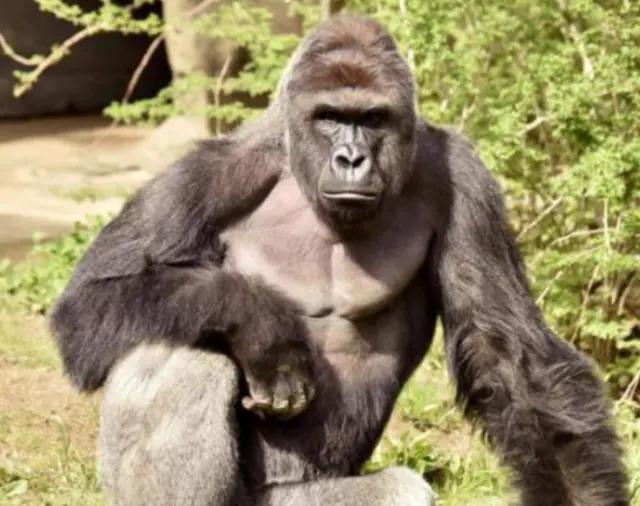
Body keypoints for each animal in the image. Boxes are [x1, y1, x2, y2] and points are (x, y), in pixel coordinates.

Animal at [51, 15, 628, 506]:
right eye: (329, 117)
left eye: (372, 118)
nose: (352, 158)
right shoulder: (206, 174)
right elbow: (88, 303)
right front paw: (263, 326)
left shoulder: (467, 181)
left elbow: (511, 358)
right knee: (181, 351)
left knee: (401, 492)